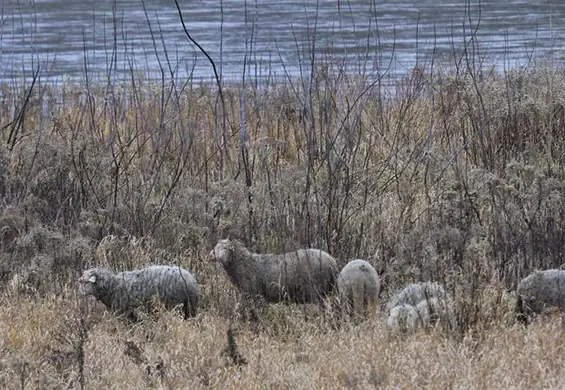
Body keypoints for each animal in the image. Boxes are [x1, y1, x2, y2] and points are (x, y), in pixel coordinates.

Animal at [208, 238, 338, 304]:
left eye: (224, 248)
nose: (210, 256)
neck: (245, 264)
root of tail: (332, 262)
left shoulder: (254, 294)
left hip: (316, 292)